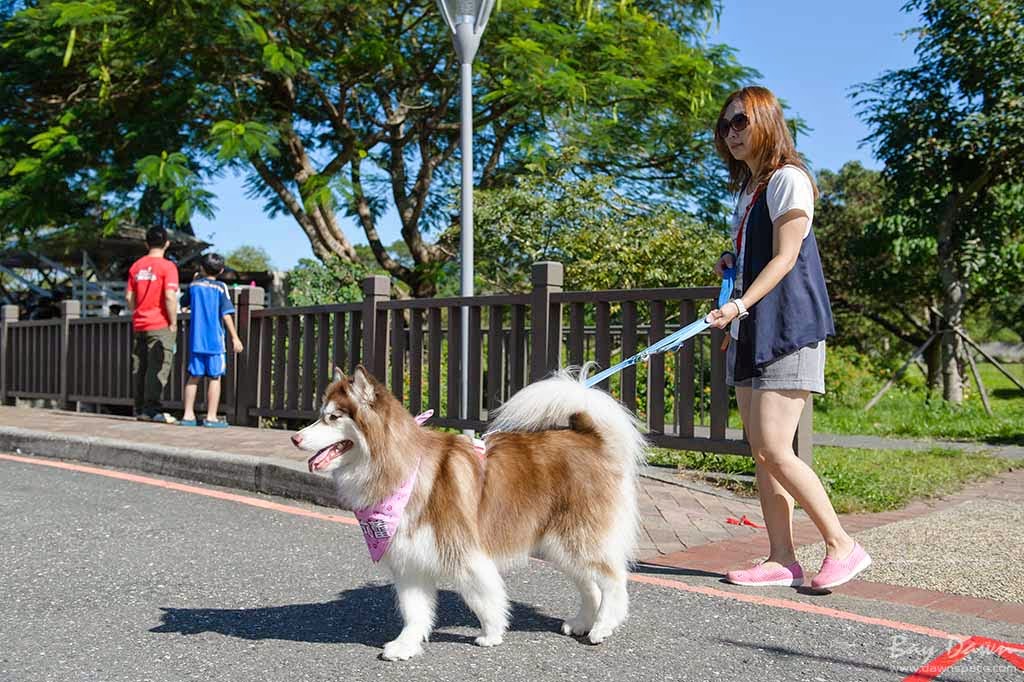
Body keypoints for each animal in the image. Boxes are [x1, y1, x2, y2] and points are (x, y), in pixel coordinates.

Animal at [290, 366, 638, 659]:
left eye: (333, 417)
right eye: (320, 416)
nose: (295, 437)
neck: (401, 470)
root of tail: (588, 435)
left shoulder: (465, 553)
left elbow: (483, 598)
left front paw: (492, 634)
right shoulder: (409, 561)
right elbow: (414, 611)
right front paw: (406, 645)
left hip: (579, 535)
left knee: (613, 580)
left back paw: (603, 625)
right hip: (559, 543)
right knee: (589, 583)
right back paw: (582, 621)